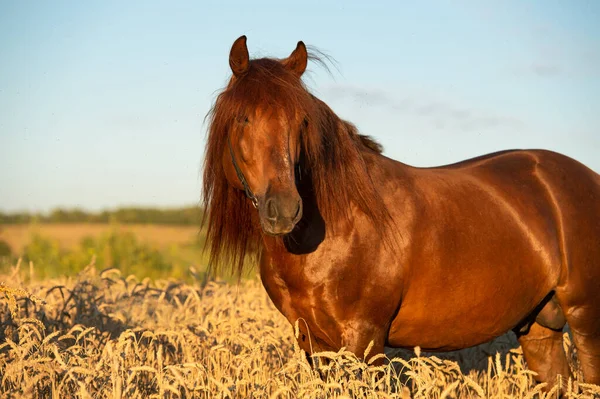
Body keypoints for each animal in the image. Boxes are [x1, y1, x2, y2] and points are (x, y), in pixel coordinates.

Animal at [203, 36, 600, 392]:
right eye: (242, 119)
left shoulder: (365, 340)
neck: (336, 225)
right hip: (540, 327)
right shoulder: (314, 343)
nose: (284, 211)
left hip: (585, 318)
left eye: (302, 121)